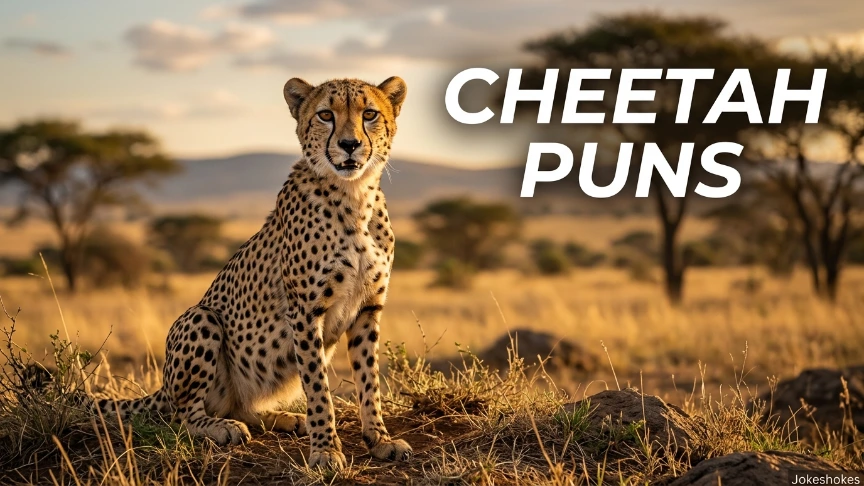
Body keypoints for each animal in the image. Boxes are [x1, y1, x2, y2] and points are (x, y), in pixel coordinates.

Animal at [92, 76, 411, 470]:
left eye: (369, 114)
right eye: (325, 115)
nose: (349, 145)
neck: (354, 194)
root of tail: (162, 388)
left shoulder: (368, 309)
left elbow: (369, 382)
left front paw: (379, 440)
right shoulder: (304, 312)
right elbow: (318, 387)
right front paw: (325, 449)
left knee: (242, 407)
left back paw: (287, 419)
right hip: (201, 318)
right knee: (183, 415)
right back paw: (222, 428)